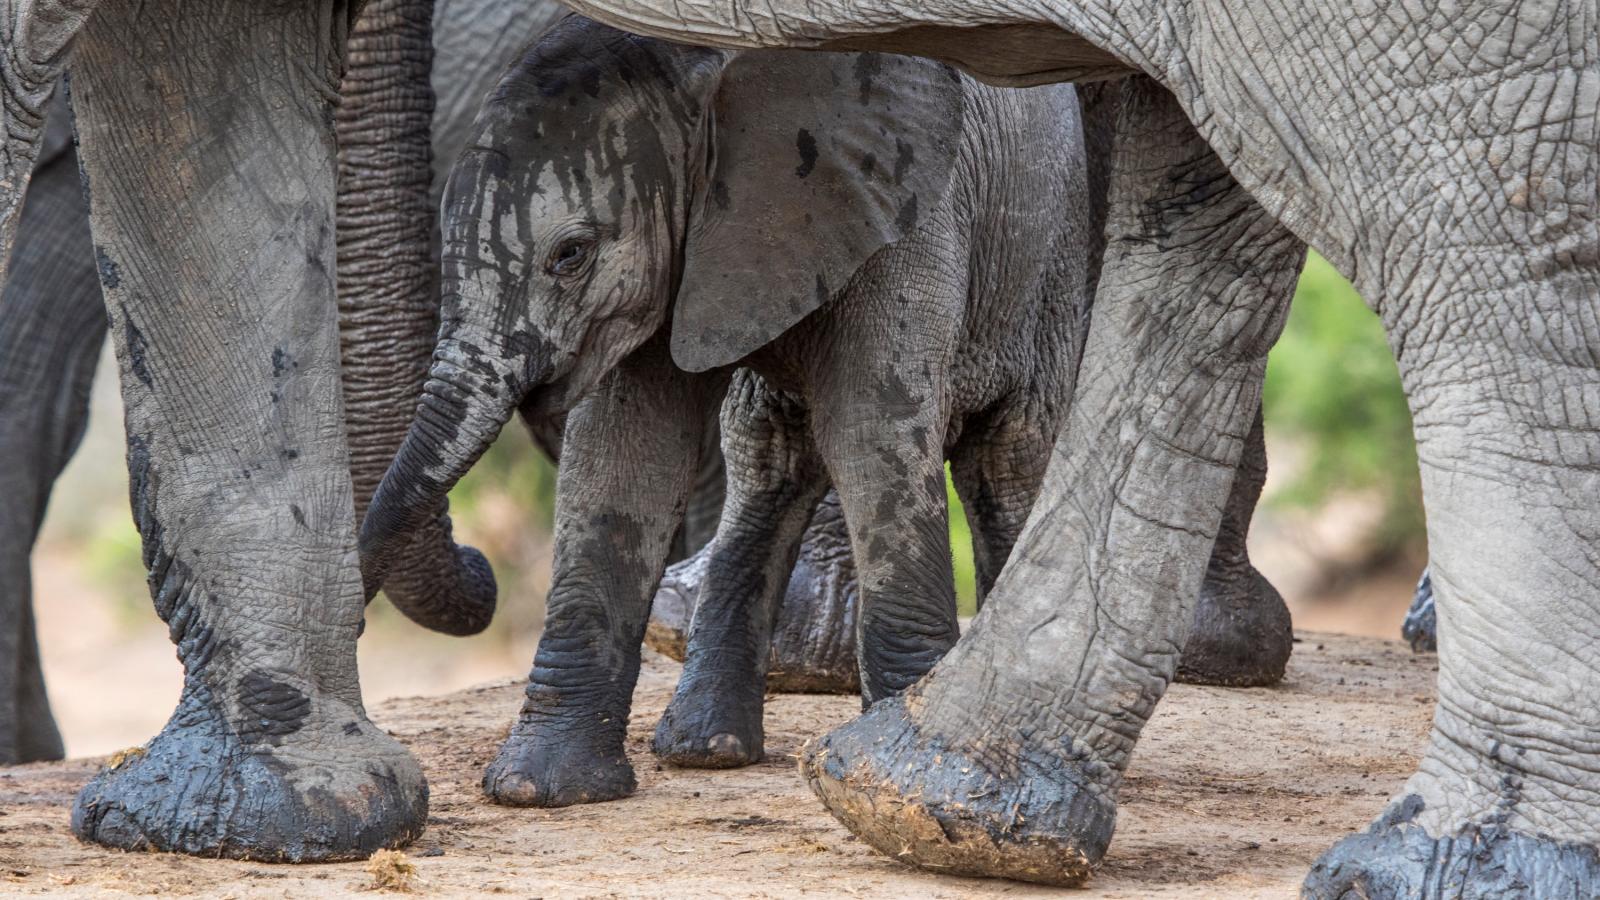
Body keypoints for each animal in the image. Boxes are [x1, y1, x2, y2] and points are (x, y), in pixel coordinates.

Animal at [363, 19, 1286, 807]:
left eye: (571, 255)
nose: (481, 566)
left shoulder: (898, 210)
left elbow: (876, 428)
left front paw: (887, 767)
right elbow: (625, 455)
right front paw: (538, 790)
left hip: (1042, 251)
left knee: (1007, 453)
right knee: (768, 458)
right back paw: (705, 750)